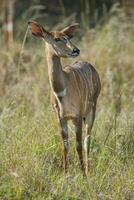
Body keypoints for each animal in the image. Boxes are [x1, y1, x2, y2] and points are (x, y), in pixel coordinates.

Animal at [28, 21, 101, 176]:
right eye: (56, 39)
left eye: (67, 37)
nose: (76, 50)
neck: (61, 92)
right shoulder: (60, 117)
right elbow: (65, 144)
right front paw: (66, 172)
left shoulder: (77, 115)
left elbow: (78, 145)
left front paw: (83, 174)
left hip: (92, 109)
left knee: (87, 141)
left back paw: (88, 169)